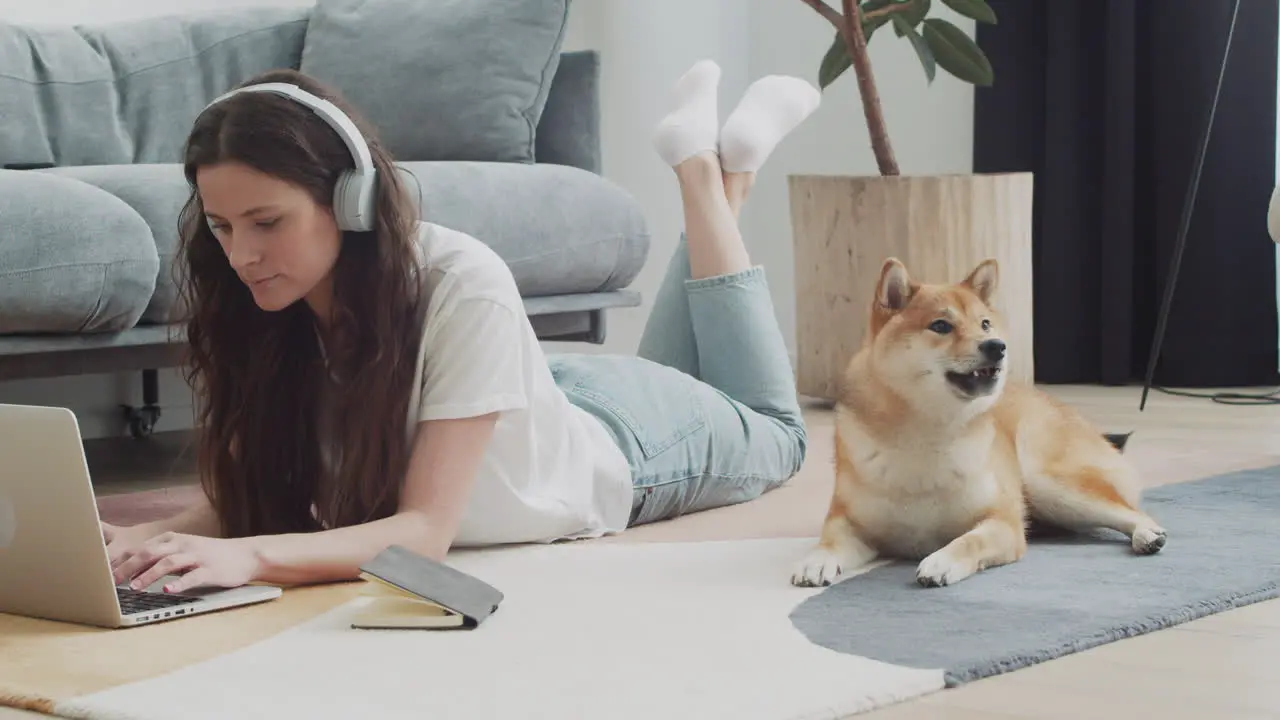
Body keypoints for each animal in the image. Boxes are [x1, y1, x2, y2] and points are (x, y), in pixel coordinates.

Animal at [783, 254, 1167, 586]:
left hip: (1049, 484)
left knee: (1128, 510)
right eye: (941, 325)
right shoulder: (851, 523)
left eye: (984, 324)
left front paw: (941, 560)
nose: (996, 345)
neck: (925, 431)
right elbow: (829, 541)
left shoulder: (1002, 522)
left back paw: (1148, 533)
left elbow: (969, 541)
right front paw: (816, 560)